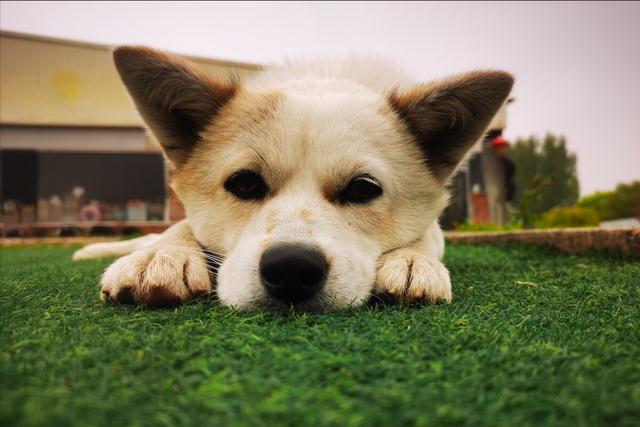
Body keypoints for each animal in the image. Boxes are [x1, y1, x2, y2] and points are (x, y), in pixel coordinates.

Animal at [75, 47, 512, 314]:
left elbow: (426, 237)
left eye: (363, 189)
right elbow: (180, 228)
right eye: (244, 184)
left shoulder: (435, 221)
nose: (292, 269)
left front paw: (412, 260)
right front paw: (161, 257)